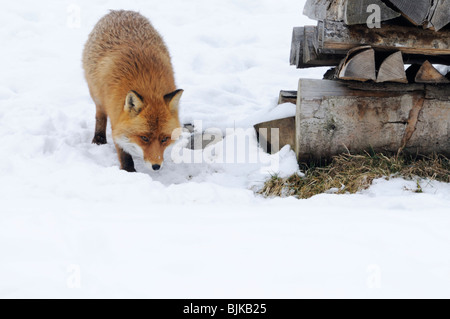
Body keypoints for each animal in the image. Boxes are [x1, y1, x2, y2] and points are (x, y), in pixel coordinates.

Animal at [82, 10, 183, 172]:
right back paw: (99, 138)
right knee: (100, 116)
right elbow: (123, 151)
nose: (156, 166)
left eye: (164, 139)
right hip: (97, 96)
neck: (148, 85)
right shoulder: (117, 118)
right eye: (144, 138)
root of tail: (119, 11)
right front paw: (129, 170)